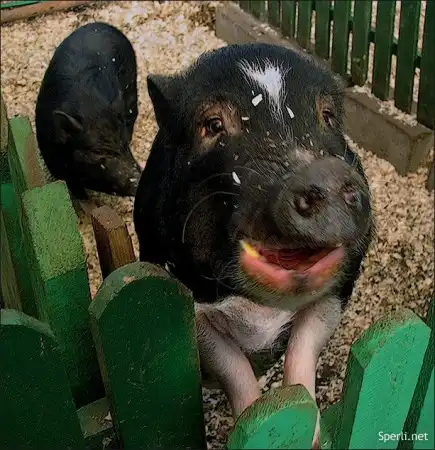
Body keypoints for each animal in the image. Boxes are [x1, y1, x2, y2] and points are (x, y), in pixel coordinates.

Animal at [134, 43, 373, 448]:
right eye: (213, 124)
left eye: (327, 116)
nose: (323, 173)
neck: (263, 312)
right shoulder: (194, 306)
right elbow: (233, 366)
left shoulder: (340, 286)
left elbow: (303, 347)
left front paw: (309, 435)